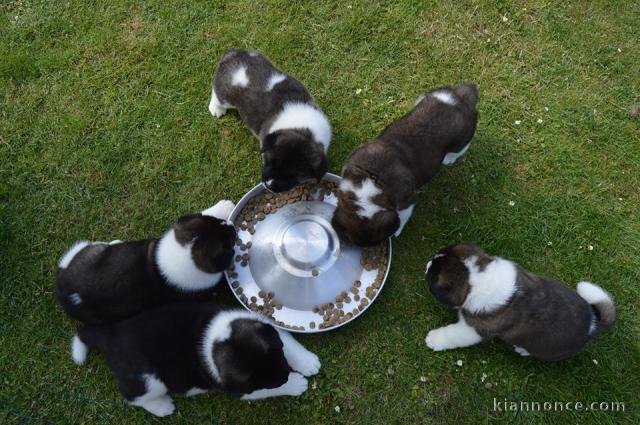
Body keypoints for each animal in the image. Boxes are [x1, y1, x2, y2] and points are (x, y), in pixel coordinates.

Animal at [56, 200, 238, 322]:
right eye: (228, 243)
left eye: (217, 221)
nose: (232, 226)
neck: (184, 253)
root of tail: (63, 290)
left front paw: (224, 206)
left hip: (88, 252)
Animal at [70, 304, 322, 416]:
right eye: (268, 382)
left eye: (280, 359)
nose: (285, 376)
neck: (217, 339)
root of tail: (110, 336)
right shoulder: (241, 390)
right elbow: (266, 391)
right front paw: (296, 384)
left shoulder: (260, 323)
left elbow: (288, 341)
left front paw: (307, 362)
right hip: (147, 380)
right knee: (133, 396)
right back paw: (161, 406)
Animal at [210, 49, 332, 192]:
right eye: (268, 161)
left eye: (292, 177)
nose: (268, 186)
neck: (303, 130)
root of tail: (232, 55)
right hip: (225, 95)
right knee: (216, 94)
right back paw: (216, 109)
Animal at [332, 83, 478, 245]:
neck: (370, 184)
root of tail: (461, 98)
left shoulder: (406, 201)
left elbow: (402, 217)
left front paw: (397, 231)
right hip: (427, 96)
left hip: (463, 139)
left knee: (461, 148)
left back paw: (449, 158)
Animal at [424, 243, 616, 360]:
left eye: (431, 279)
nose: (426, 264)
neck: (479, 276)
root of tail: (593, 324)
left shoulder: (475, 329)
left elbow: (454, 334)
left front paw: (434, 339)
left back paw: (523, 350)